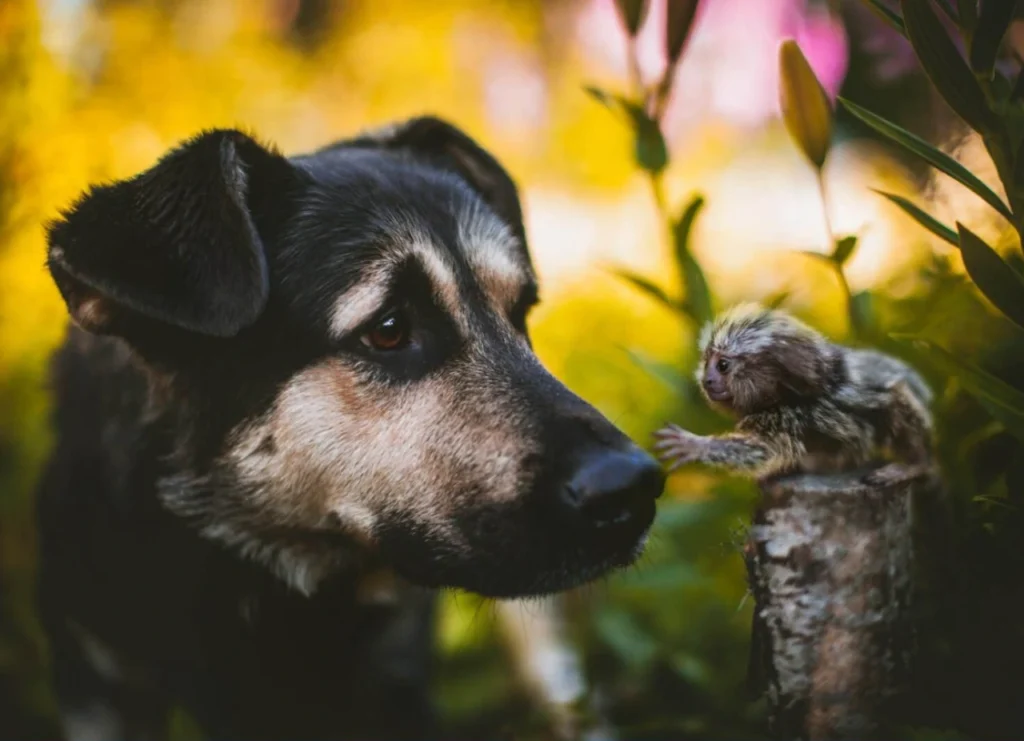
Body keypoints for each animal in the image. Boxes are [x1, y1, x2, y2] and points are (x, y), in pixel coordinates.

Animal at [655, 302, 937, 483]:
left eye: (723, 365)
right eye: (707, 362)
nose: (708, 380)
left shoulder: (785, 416)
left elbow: (763, 450)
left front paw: (697, 445)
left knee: (893, 399)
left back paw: (917, 464)